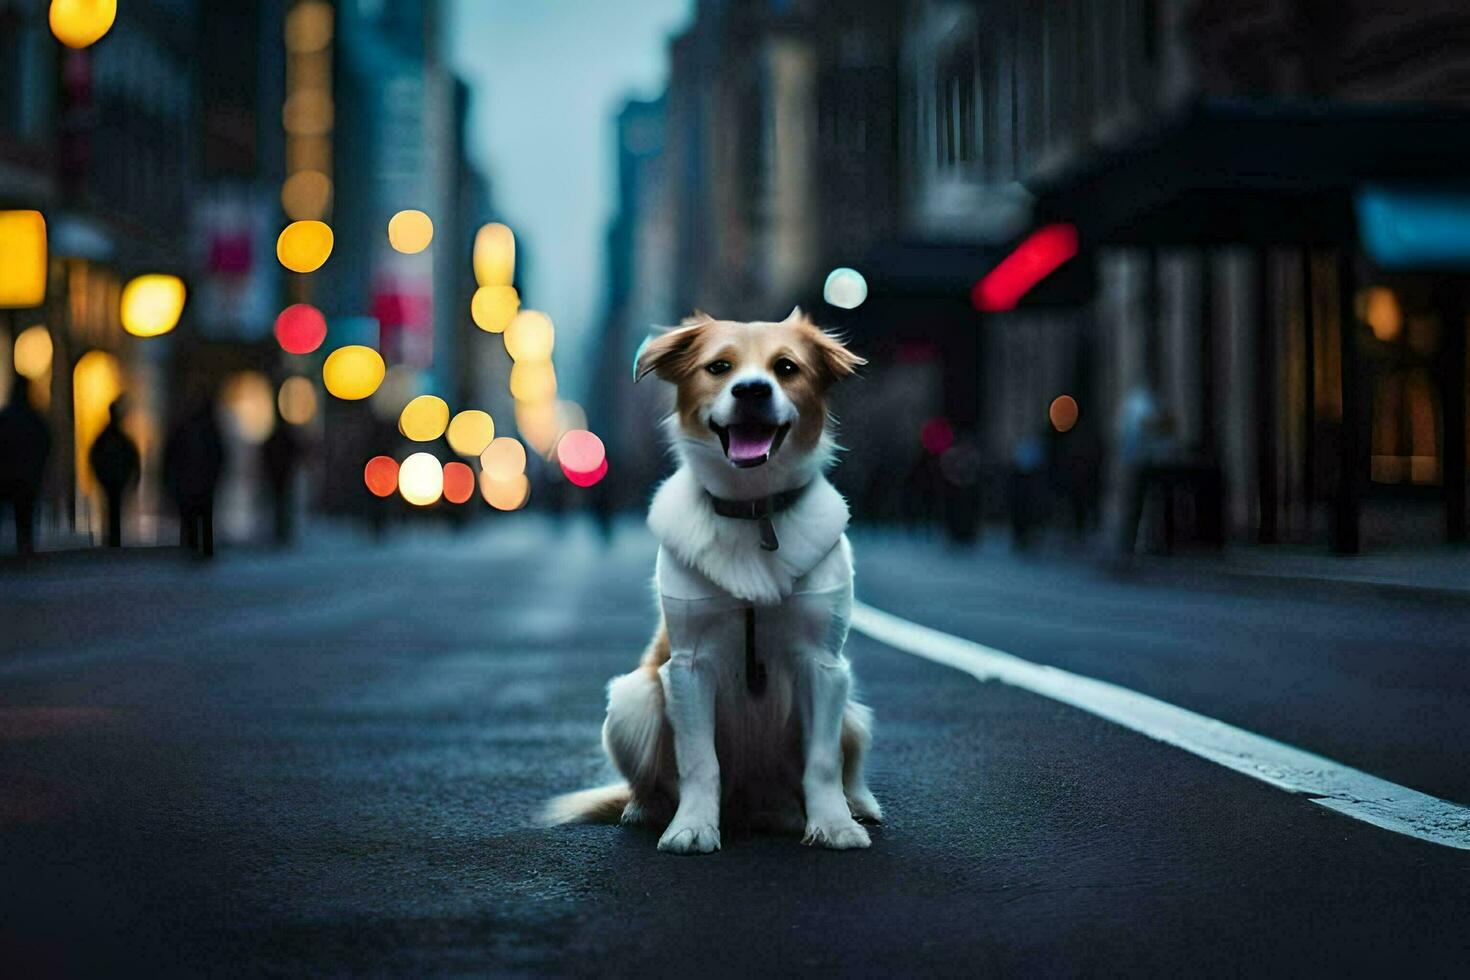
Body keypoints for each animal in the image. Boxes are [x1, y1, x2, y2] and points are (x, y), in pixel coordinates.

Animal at [546, 307, 876, 852]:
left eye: (786, 368)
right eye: (719, 367)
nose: (752, 390)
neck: (753, 510)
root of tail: (754, 805)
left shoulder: (825, 664)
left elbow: (825, 762)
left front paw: (833, 825)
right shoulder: (688, 666)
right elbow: (700, 763)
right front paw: (692, 827)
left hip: (853, 710)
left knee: (848, 763)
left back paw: (856, 806)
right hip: (632, 699)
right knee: (653, 779)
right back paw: (645, 808)